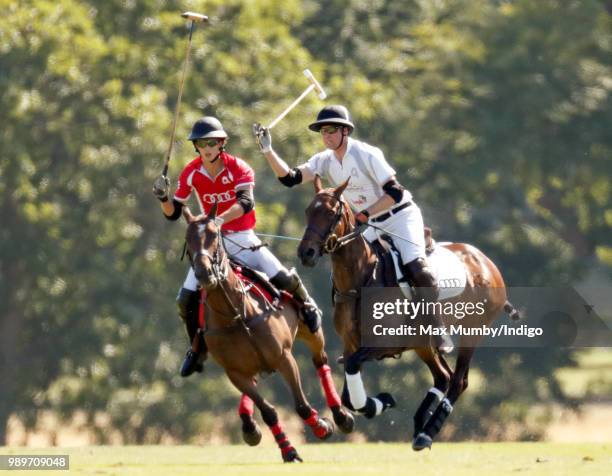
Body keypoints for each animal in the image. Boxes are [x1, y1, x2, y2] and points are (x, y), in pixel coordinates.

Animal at [182, 204, 354, 462]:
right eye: (188, 239)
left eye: (214, 235)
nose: (204, 274)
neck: (237, 314)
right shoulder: (235, 373)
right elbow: (268, 411)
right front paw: (288, 450)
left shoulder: (283, 357)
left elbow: (301, 405)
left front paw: (322, 427)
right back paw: (249, 426)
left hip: (311, 334)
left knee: (320, 360)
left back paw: (340, 416)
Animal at [298, 178, 520, 450]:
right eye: (308, 211)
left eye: (330, 213)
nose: (306, 253)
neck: (360, 279)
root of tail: (487, 263)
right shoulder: (350, 346)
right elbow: (349, 394)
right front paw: (379, 403)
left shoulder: (383, 344)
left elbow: (352, 378)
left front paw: (380, 402)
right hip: (423, 342)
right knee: (443, 377)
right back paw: (420, 425)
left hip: (473, 331)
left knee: (458, 380)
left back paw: (427, 433)